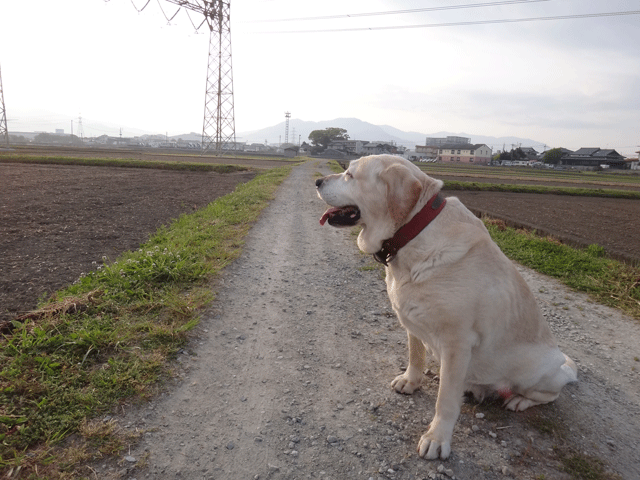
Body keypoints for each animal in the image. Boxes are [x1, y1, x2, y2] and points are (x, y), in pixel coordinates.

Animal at [316, 155, 580, 462]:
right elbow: (415, 356)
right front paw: (411, 381)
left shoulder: (457, 342)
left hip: (535, 371)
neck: (412, 234)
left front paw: (437, 438)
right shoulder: (412, 322)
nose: (317, 181)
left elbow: (445, 401)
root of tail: (563, 365)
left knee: (549, 395)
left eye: (349, 174)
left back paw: (518, 400)